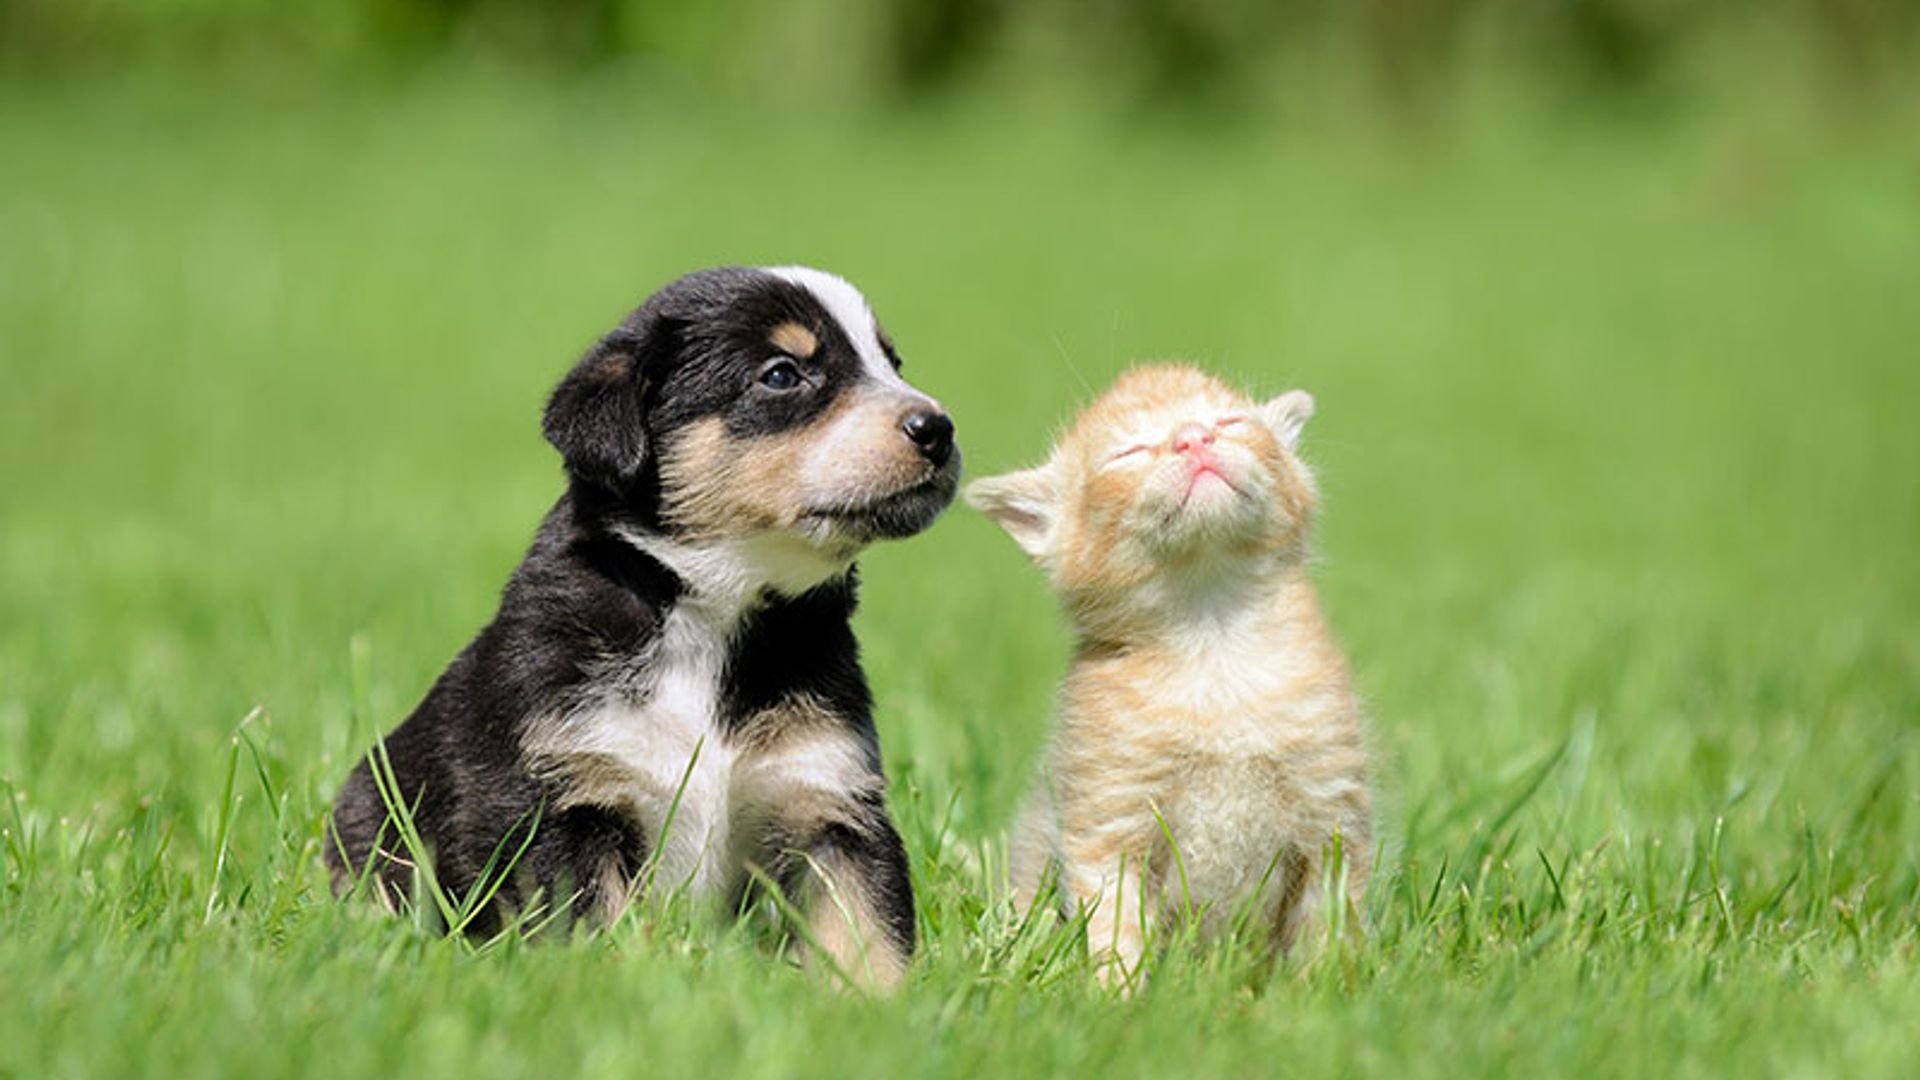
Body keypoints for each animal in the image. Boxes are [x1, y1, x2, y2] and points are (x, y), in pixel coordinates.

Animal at [332, 263, 967, 983]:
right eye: (781, 374)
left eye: (891, 363)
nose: (937, 428)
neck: (712, 616)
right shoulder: (559, 801)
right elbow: (590, 927)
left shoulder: (828, 797)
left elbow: (866, 933)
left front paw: (884, 1004)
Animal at [967, 363, 1374, 983]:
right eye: (1127, 453)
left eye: (1230, 422)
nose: (1193, 439)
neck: (1213, 642)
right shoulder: (1107, 824)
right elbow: (1113, 932)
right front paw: (1118, 996)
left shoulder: (1332, 818)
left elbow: (1327, 934)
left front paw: (1324, 994)